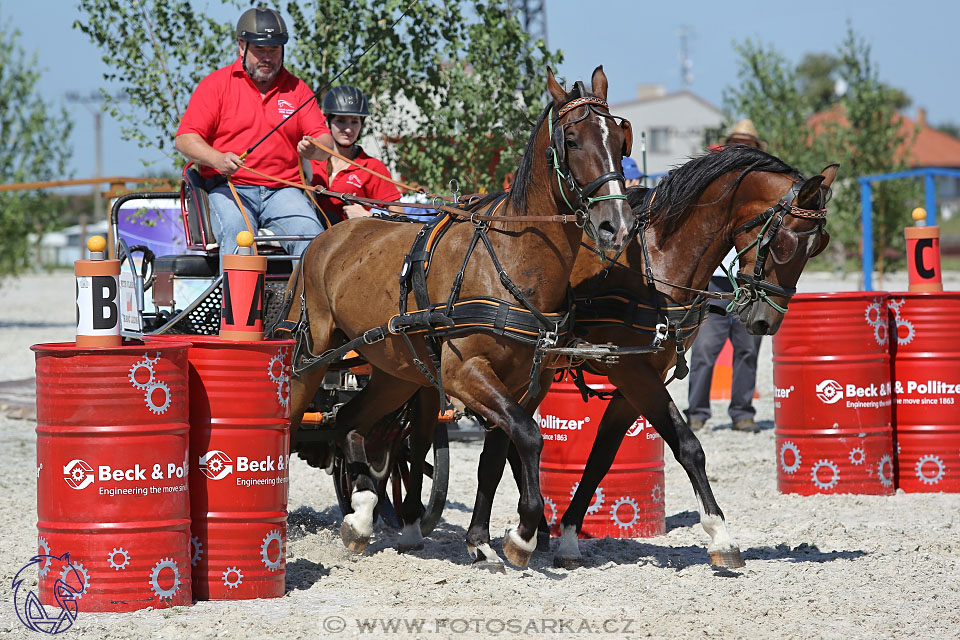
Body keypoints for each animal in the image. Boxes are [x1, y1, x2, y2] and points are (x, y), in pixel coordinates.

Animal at [284, 67, 636, 568]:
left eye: (620, 139)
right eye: (571, 139)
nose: (617, 226)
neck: (509, 260)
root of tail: (323, 240)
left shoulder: (526, 385)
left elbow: (500, 452)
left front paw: (485, 538)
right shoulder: (464, 372)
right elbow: (529, 436)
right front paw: (522, 534)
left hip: (397, 371)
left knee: (351, 422)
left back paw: (362, 515)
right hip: (311, 356)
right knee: (293, 419)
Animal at [498, 148, 836, 568]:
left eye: (818, 247)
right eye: (785, 243)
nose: (765, 321)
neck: (654, 264)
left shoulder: (638, 381)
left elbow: (601, 459)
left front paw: (570, 537)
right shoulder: (634, 374)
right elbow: (689, 447)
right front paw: (721, 535)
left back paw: (538, 530)